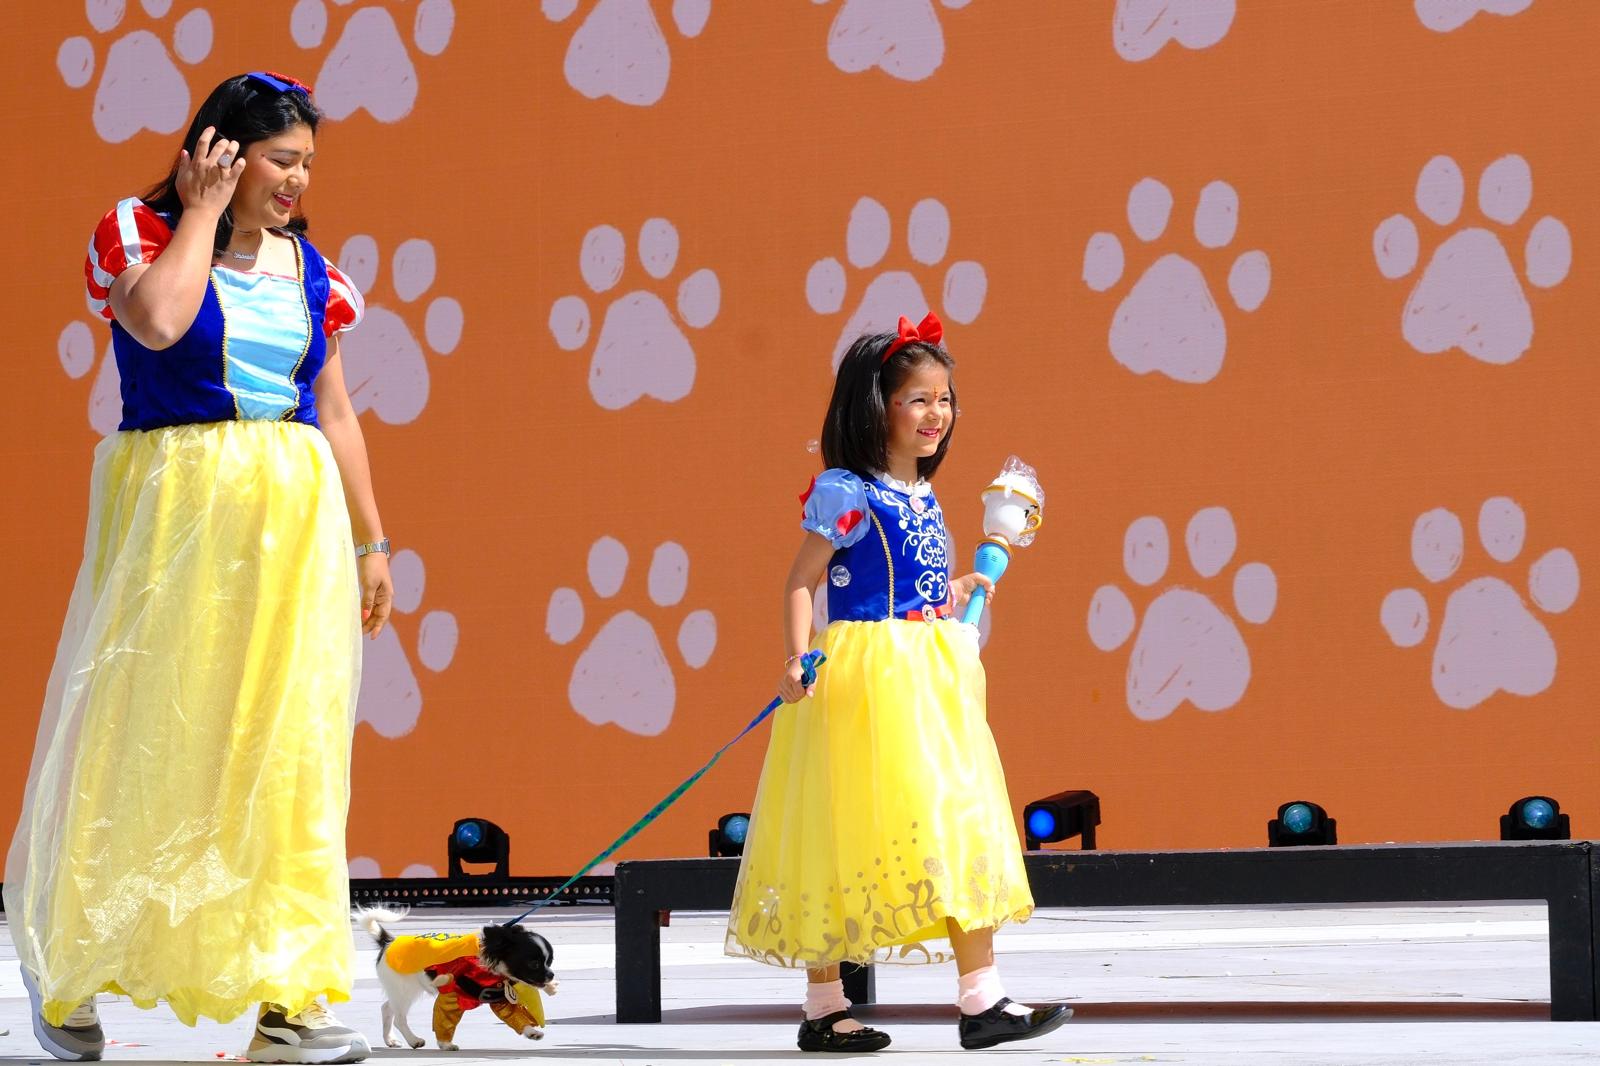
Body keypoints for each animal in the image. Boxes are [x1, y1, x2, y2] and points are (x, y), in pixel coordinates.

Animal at [360, 902, 560, 1043]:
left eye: (549, 962)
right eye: (534, 964)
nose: (551, 975)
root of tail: (387, 942)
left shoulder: (500, 998)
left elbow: (516, 1018)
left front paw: (531, 1032)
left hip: (404, 990)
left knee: (387, 1008)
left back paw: (390, 1040)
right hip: (404, 990)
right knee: (399, 1017)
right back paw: (413, 1040)